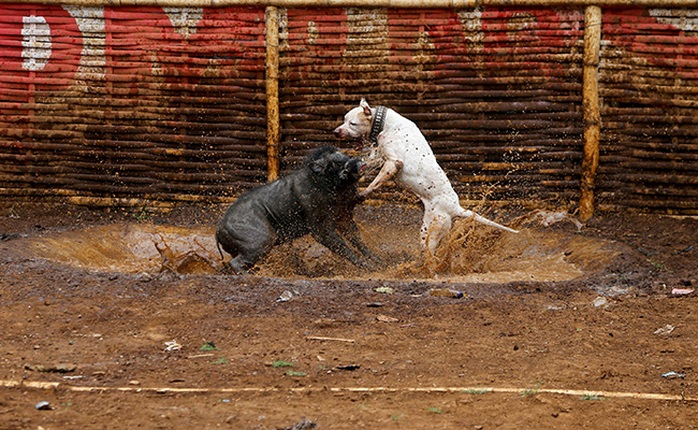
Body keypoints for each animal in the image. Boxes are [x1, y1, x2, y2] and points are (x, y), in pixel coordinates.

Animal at [332, 99, 516, 254]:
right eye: (344, 119)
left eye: (353, 123)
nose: (336, 132)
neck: (385, 124)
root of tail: (455, 207)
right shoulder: (381, 157)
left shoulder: (393, 163)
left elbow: (375, 183)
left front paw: (361, 195)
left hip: (431, 230)